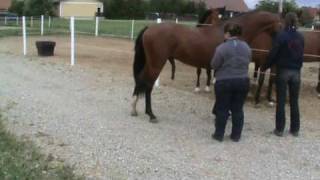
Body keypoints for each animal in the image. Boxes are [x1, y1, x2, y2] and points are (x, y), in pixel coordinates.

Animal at [131, 10, 282, 122]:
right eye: (282, 25)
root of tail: (149, 28)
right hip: (156, 64)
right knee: (148, 84)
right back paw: (150, 114)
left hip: (151, 63)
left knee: (140, 80)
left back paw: (134, 108)